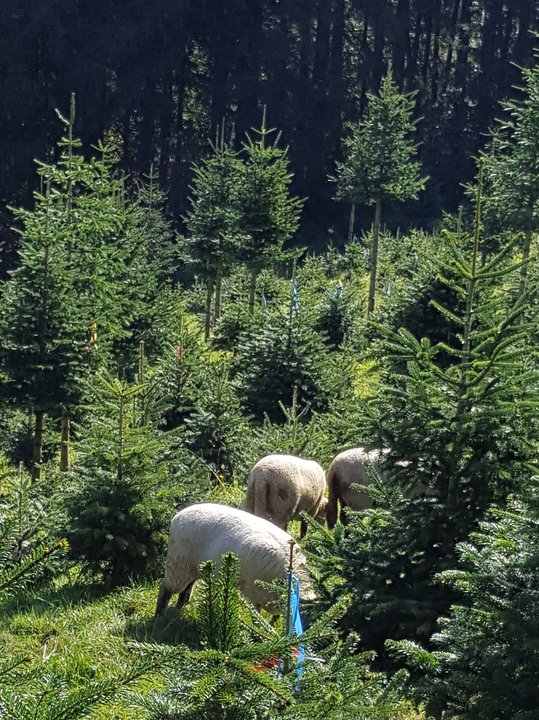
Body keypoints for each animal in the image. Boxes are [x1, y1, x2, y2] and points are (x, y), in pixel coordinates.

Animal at [154, 503, 314, 617]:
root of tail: (178, 515)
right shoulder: (253, 595)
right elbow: (258, 621)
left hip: (193, 567)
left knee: (187, 587)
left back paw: (180, 608)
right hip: (178, 563)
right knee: (166, 589)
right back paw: (159, 617)